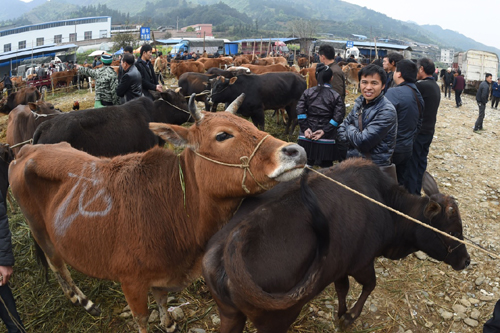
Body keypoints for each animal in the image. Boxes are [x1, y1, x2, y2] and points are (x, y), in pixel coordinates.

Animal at [10, 94, 308, 332]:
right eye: (223, 135)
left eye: (253, 126)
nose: (296, 151)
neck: (173, 204)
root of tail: (28, 149)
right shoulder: (131, 283)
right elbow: (142, 320)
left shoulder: (162, 275)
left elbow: (163, 302)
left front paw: (169, 323)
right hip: (40, 230)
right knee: (56, 264)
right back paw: (83, 301)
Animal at [203, 158, 468, 332]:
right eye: (454, 232)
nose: (466, 260)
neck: (386, 204)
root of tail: (232, 244)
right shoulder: (362, 263)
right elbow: (370, 285)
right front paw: (349, 317)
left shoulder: (339, 266)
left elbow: (342, 289)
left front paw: (341, 313)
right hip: (275, 321)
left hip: (230, 315)